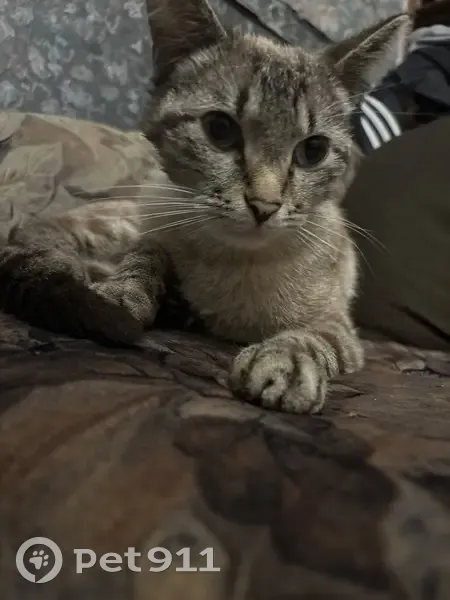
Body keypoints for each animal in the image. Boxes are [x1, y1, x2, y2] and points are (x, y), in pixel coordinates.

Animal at [0, 0, 411, 414]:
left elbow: (315, 338)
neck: (235, 268)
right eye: (220, 130)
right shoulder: (154, 228)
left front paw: (287, 364)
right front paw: (121, 293)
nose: (264, 206)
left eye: (313, 151)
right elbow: (147, 254)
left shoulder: (339, 324)